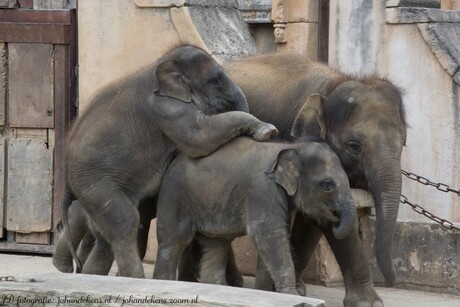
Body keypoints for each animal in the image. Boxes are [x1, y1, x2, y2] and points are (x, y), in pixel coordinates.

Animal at [60, 45, 276, 280]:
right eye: (216, 80)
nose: (269, 135)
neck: (161, 63)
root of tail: (67, 179)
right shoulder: (165, 108)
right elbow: (199, 135)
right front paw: (267, 130)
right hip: (94, 183)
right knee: (125, 222)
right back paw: (134, 278)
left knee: (104, 238)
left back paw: (93, 275)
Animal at [153, 138, 358, 296]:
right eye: (327, 185)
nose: (334, 219)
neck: (294, 146)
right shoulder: (262, 189)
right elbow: (270, 234)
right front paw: (291, 295)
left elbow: (274, 237)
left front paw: (265, 293)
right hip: (175, 195)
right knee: (173, 241)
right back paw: (163, 283)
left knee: (216, 243)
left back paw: (218, 287)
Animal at [223, 53, 406, 306]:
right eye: (354, 147)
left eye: (403, 144)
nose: (391, 281)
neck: (332, 84)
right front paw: (367, 303)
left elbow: (317, 216)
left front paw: (298, 290)